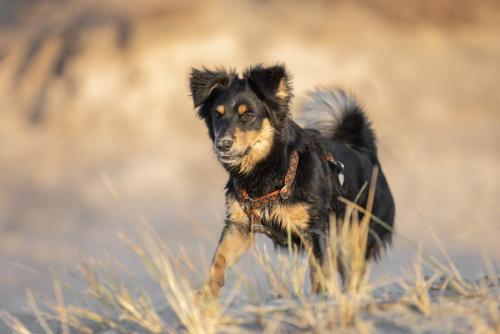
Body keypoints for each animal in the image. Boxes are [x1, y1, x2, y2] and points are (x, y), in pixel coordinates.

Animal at [188, 64, 394, 296]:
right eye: (217, 115)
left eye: (248, 116)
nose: (222, 144)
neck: (269, 172)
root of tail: (365, 152)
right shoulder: (238, 227)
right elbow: (218, 261)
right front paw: (204, 297)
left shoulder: (313, 231)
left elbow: (319, 273)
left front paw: (320, 298)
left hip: (353, 238)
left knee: (354, 275)